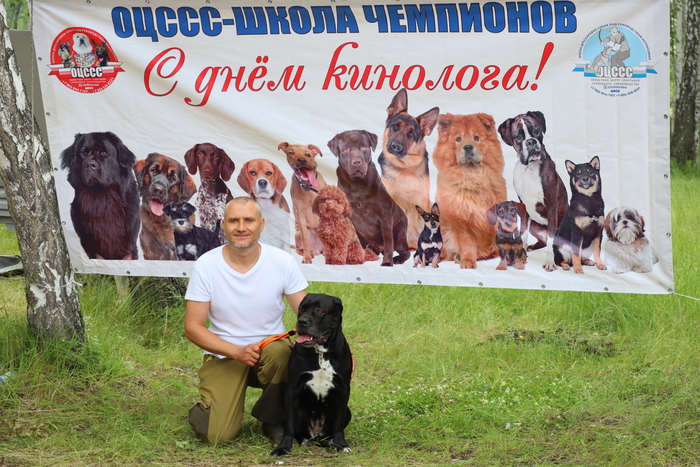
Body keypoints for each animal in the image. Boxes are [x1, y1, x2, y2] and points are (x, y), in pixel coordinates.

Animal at [271, 293, 353, 457]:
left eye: (320, 311)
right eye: (301, 309)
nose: (302, 321)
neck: (321, 353)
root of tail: (315, 434)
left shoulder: (344, 388)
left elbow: (338, 423)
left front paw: (341, 444)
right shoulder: (293, 388)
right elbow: (289, 425)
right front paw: (283, 447)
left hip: (347, 411)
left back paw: (330, 441)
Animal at [328, 130, 410, 267]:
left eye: (363, 147)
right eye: (345, 149)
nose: (356, 162)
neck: (358, 186)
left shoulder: (385, 216)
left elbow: (388, 242)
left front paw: (387, 263)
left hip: (400, 235)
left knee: (405, 251)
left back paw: (397, 258)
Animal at [433, 113, 508, 268]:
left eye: (476, 138)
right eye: (458, 139)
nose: (468, 147)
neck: (473, 177)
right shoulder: (461, 220)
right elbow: (467, 243)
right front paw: (468, 261)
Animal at [498, 111, 568, 251]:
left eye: (537, 131)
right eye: (518, 137)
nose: (531, 141)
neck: (529, 168)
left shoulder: (551, 205)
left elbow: (551, 236)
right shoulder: (523, 207)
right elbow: (523, 232)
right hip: (535, 225)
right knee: (543, 241)